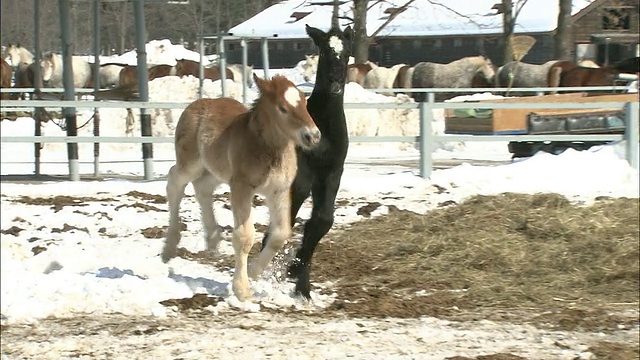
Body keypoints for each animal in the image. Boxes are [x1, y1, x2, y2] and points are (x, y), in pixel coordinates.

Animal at [160, 74, 320, 300]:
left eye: (305, 103)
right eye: (282, 108)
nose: (313, 136)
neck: (269, 150)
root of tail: (194, 105)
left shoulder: (278, 191)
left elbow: (281, 234)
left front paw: (253, 272)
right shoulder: (242, 187)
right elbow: (244, 237)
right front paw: (242, 289)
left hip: (215, 171)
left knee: (202, 188)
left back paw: (213, 238)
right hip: (191, 164)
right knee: (175, 181)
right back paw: (170, 247)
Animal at [262, 24, 356, 298]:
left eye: (347, 52)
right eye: (324, 50)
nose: (335, 82)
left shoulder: (332, 173)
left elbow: (322, 220)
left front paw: (300, 279)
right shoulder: (301, 178)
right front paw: (293, 272)